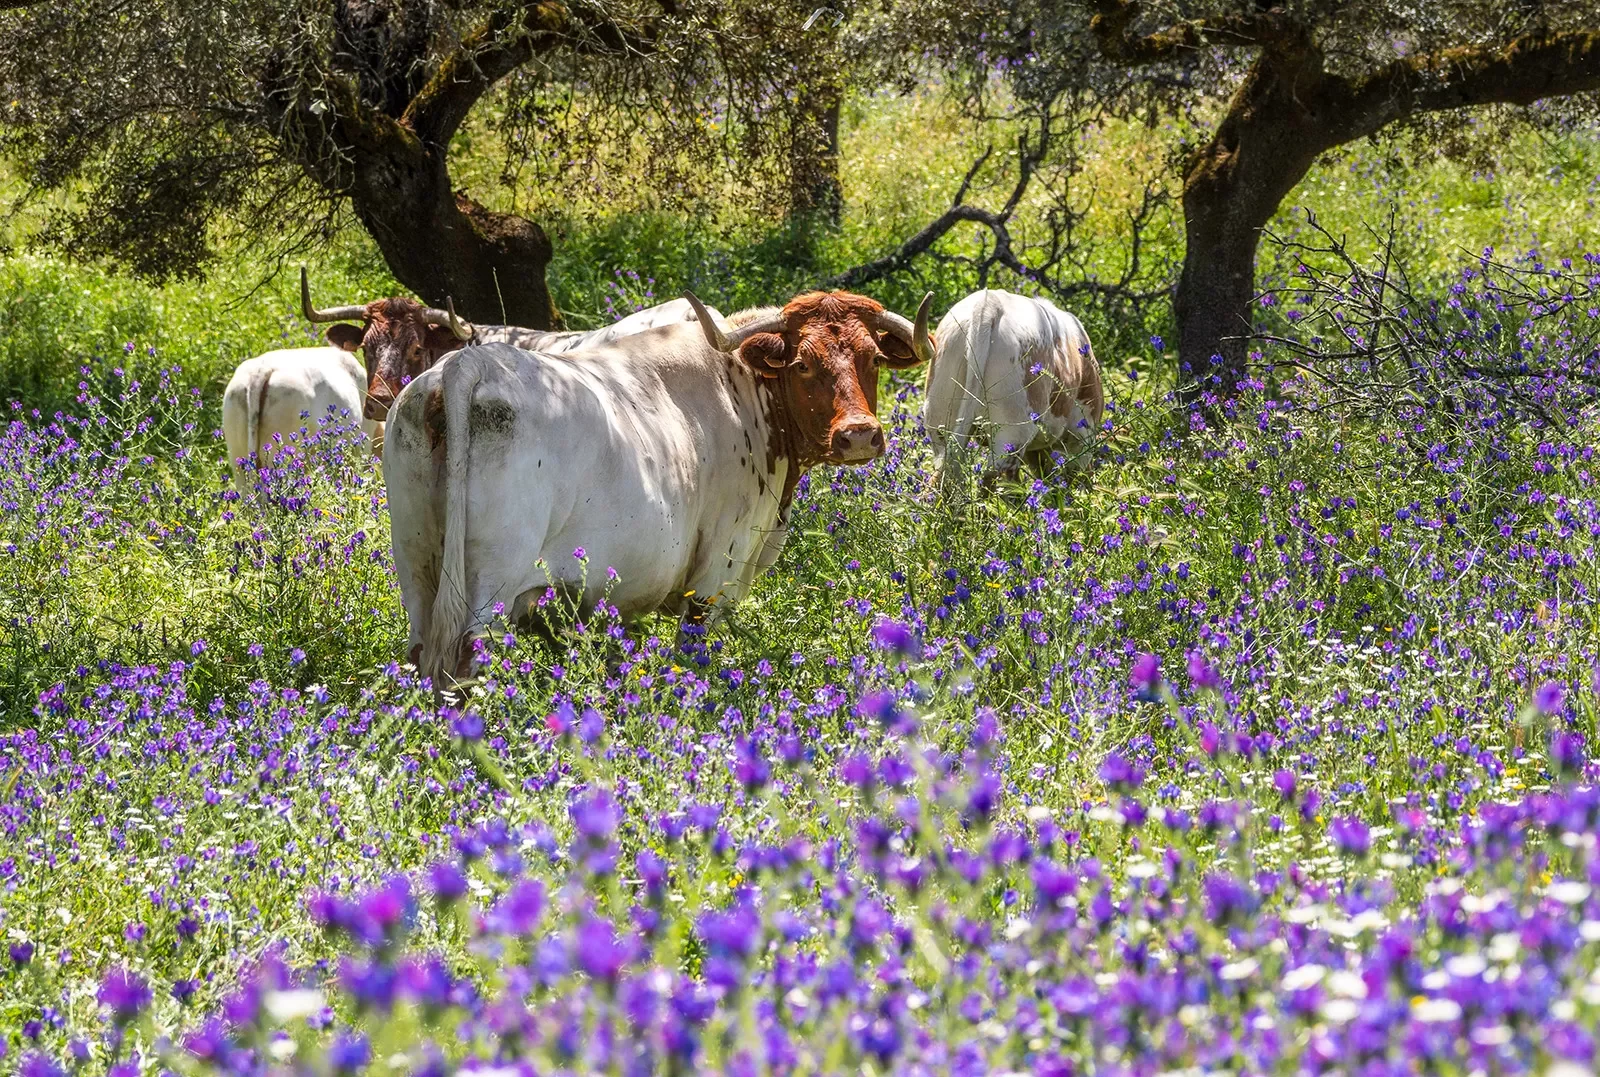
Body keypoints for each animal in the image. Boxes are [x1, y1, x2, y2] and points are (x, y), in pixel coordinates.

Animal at [385, 289, 934, 684]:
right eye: (803, 363)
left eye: (872, 358)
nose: (858, 434)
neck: (742, 390)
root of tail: (467, 367)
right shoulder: (718, 571)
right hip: (488, 592)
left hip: (417, 569)